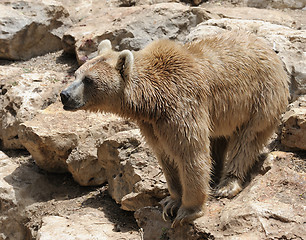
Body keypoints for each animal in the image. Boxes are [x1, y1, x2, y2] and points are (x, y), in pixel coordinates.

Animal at [60, 31, 290, 228]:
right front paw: (170, 202)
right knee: (218, 140)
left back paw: (227, 185)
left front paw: (188, 210)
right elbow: (166, 156)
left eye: (88, 80)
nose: (64, 95)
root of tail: (269, 49)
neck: (151, 100)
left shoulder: (181, 106)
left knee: (247, 140)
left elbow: (190, 152)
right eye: (76, 74)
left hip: (261, 98)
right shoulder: (153, 124)